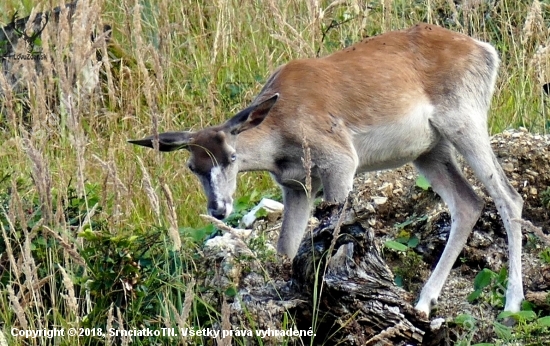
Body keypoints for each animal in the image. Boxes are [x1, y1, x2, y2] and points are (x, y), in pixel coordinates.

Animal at [129, 23, 528, 316]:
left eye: (230, 156)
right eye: (192, 166)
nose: (219, 208)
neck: (280, 127)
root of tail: (485, 49)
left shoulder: (340, 162)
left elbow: (334, 233)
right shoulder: (297, 187)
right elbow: (286, 248)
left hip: (464, 123)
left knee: (509, 198)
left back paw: (510, 306)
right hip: (430, 150)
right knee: (468, 203)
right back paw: (424, 302)